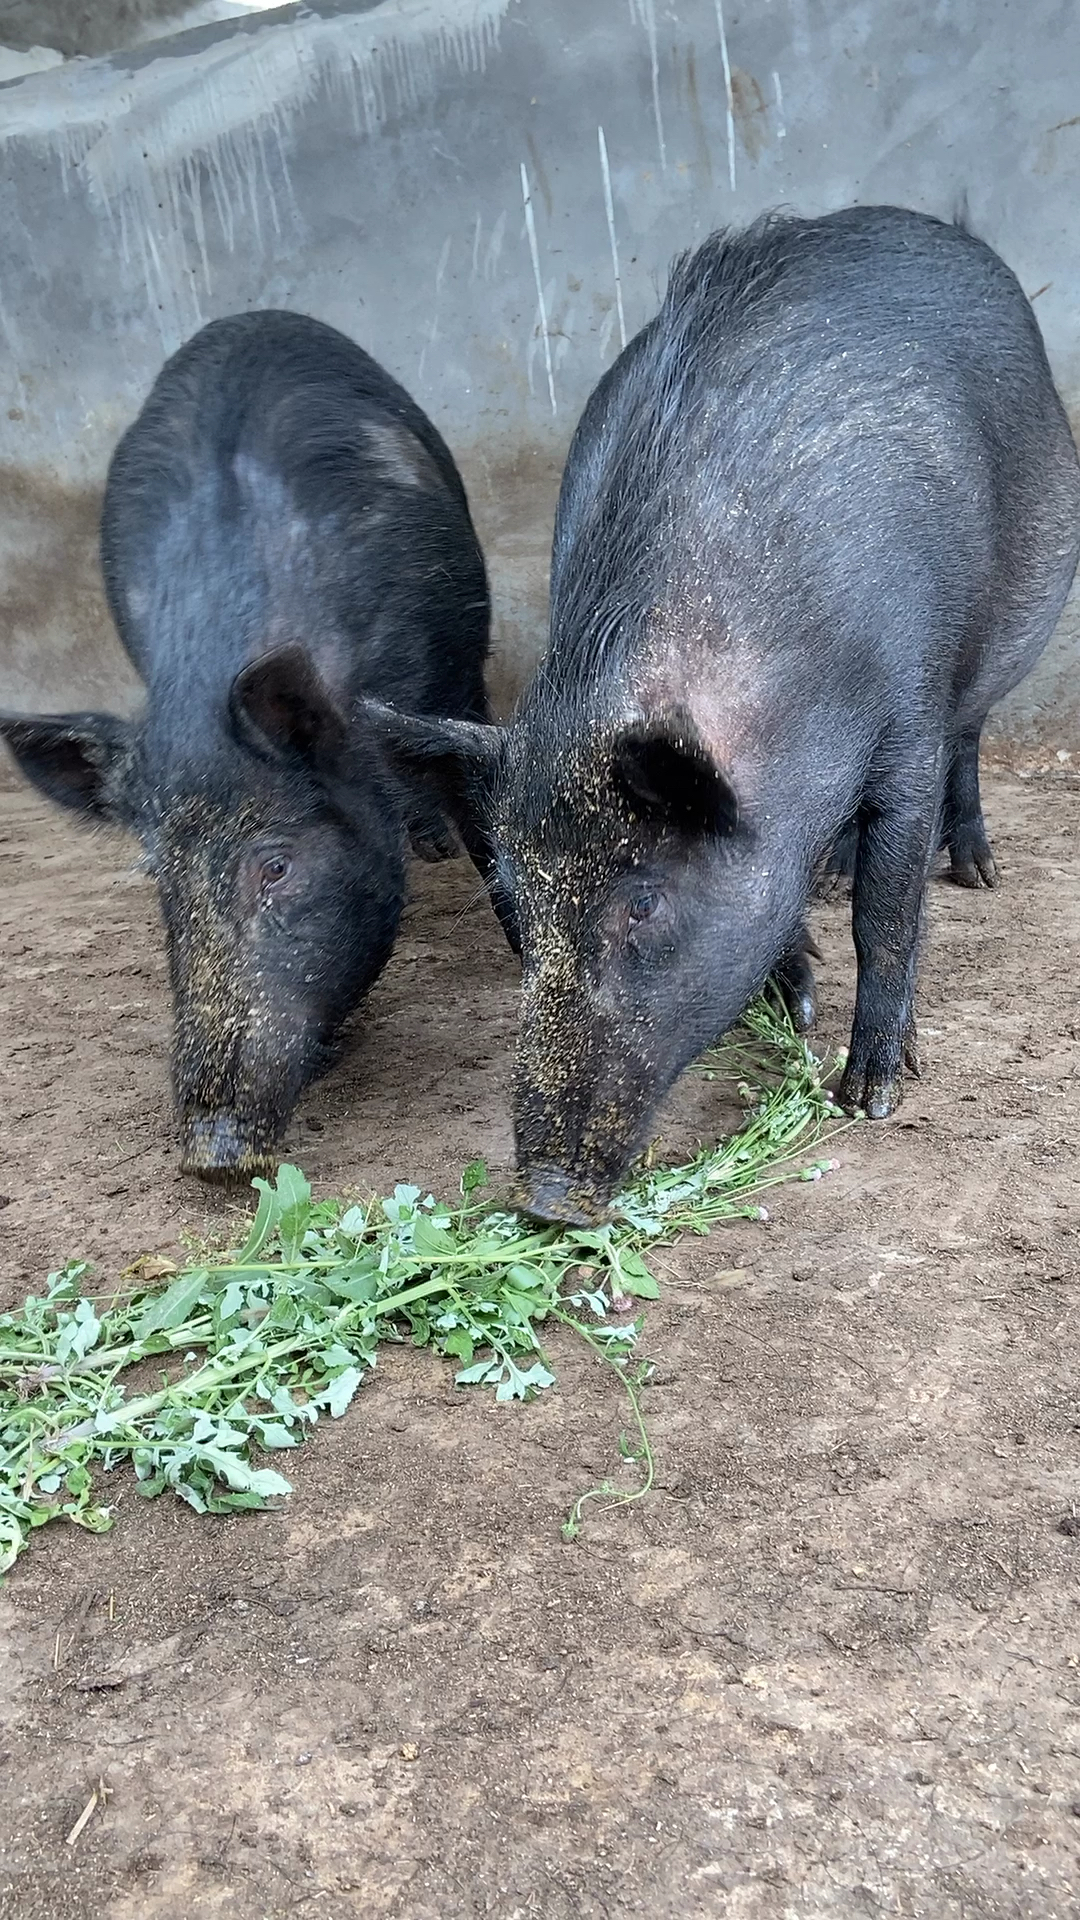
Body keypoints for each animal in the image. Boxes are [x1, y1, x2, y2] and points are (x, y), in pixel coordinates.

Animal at [368, 210, 1076, 1221]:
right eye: (515, 900)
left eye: (643, 901)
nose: (545, 1196)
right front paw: (796, 997)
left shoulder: (908, 714)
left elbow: (889, 909)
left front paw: (870, 1094)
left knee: (970, 740)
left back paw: (976, 871)